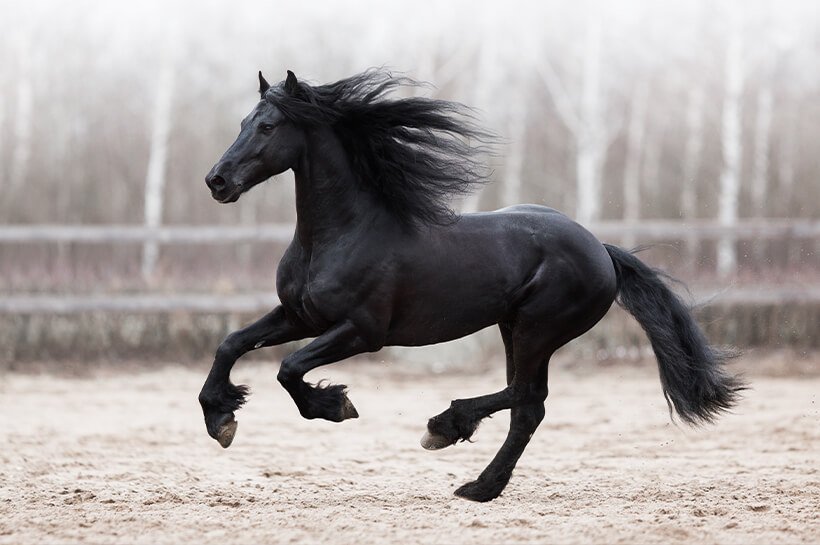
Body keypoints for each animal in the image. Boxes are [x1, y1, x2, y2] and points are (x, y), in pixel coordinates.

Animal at [199, 69, 744, 502]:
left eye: (268, 126)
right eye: (243, 123)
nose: (217, 182)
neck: (341, 234)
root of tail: (600, 249)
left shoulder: (361, 331)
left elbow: (289, 369)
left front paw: (334, 406)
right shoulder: (298, 316)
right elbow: (231, 345)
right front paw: (221, 420)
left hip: (538, 329)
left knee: (526, 397)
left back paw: (448, 433)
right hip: (511, 327)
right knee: (527, 403)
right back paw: (480, 484)